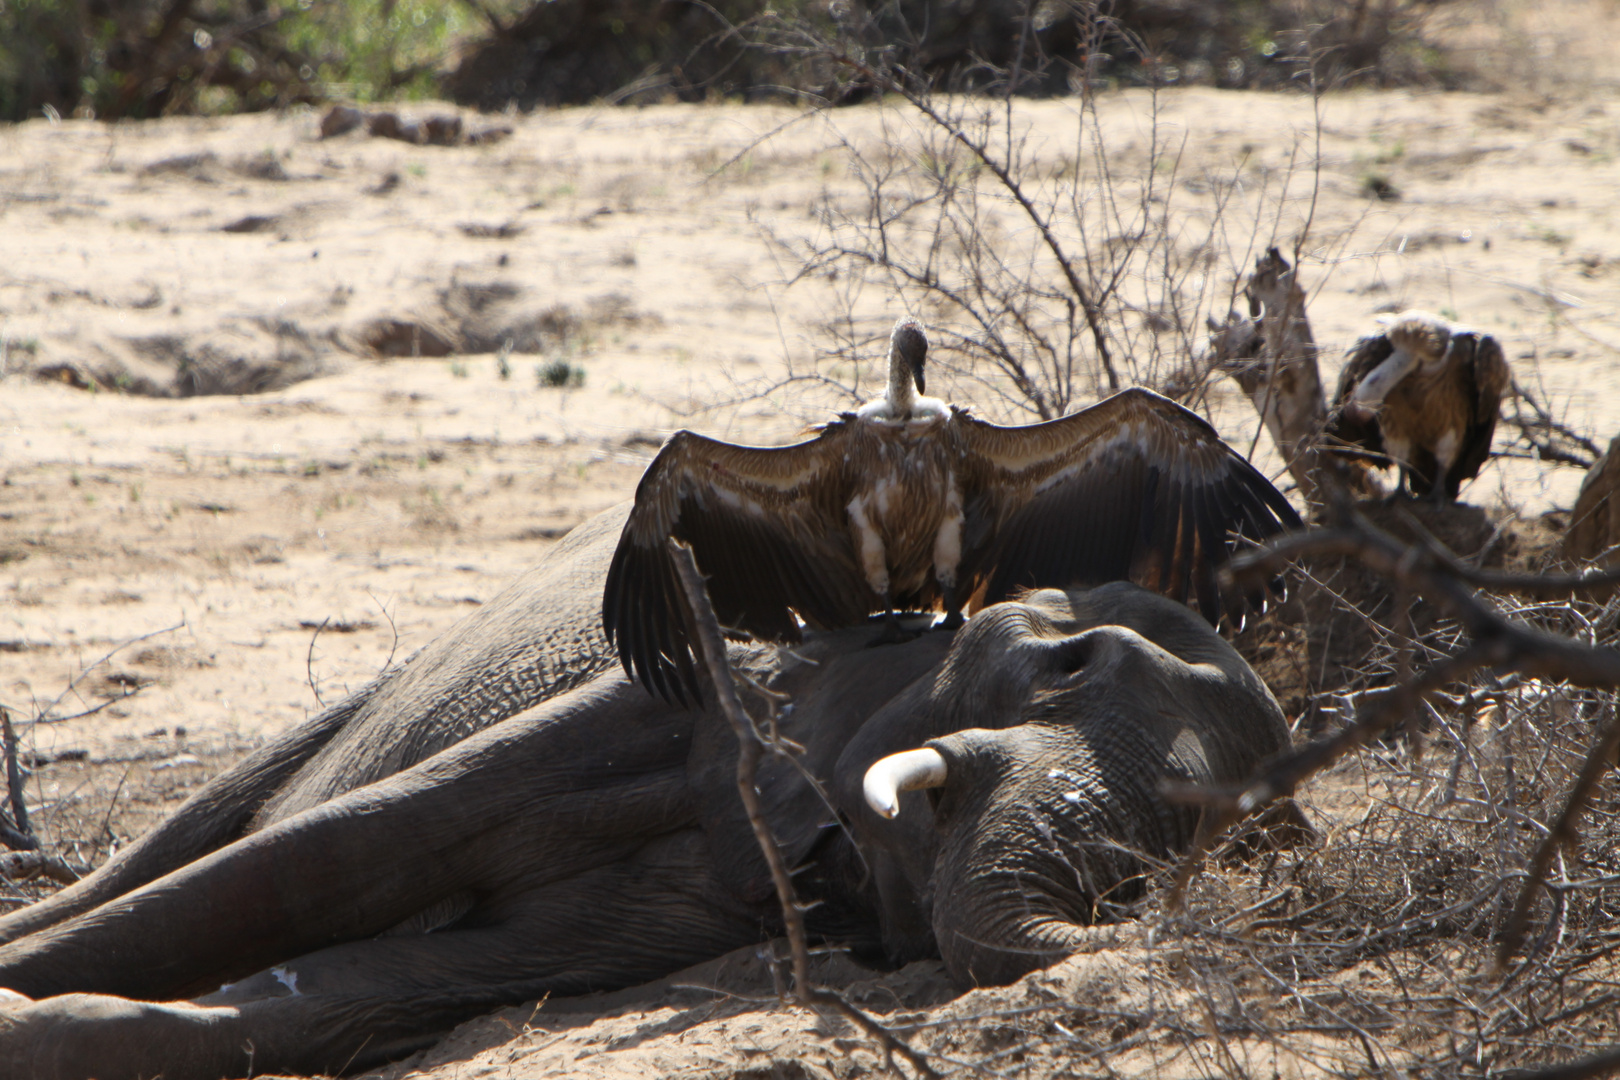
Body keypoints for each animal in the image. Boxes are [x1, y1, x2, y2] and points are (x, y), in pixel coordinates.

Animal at [0, 508, 1296, 1080]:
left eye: (1199, 832)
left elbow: (363, 991)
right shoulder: (706, 684)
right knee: (193, 841)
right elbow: (334, 854)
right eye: (1065, 665)